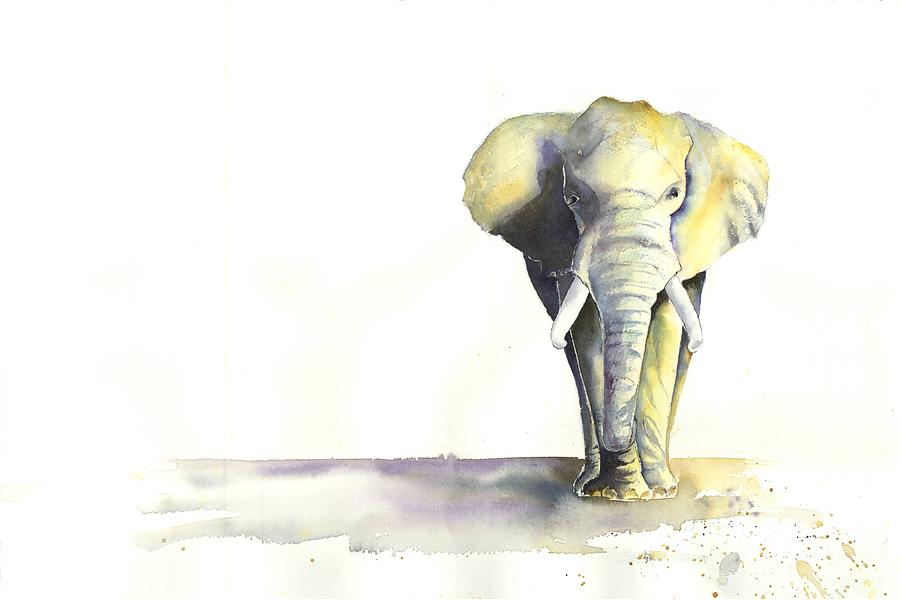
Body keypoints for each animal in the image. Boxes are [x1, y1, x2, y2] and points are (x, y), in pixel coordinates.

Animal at [462, 97, 768, 501]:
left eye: (674, 194)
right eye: (572, 199)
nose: (620, 443)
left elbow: (664, 329)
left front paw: (654, 491)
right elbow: (586, 335)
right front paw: (616, 493)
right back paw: (586, 483)